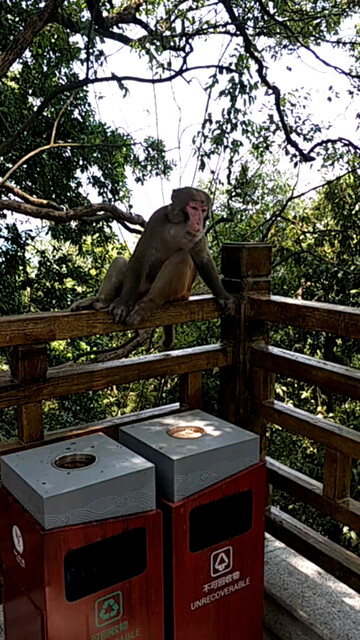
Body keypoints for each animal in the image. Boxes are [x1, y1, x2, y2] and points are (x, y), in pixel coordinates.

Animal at [70, 186, 233, 344]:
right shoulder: (157, 217)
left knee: (182, 257)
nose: (199, 222)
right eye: (194, 208)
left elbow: (202, 260)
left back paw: (148, 303)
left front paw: (223, 296)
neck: (179, 225)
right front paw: (123, 304)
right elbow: (141, 256)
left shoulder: (198, 233)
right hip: (138, 287)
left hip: (180, 294)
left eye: (203, 210)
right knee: (121, 261)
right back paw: (101, 301)